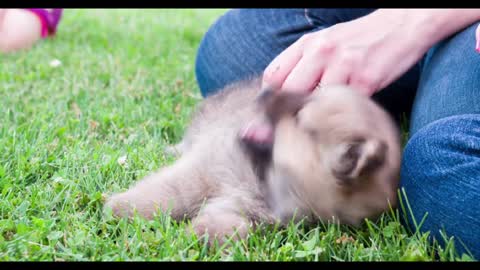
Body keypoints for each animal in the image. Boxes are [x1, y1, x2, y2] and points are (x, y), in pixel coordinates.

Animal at [105, 77, 402, 243]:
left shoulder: (249, 210)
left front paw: (201, 236)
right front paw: (120, 209)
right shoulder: (202, 169)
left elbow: (236, 227)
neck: (263, 177)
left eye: (298, 116)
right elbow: (170, 193)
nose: (265, 92)